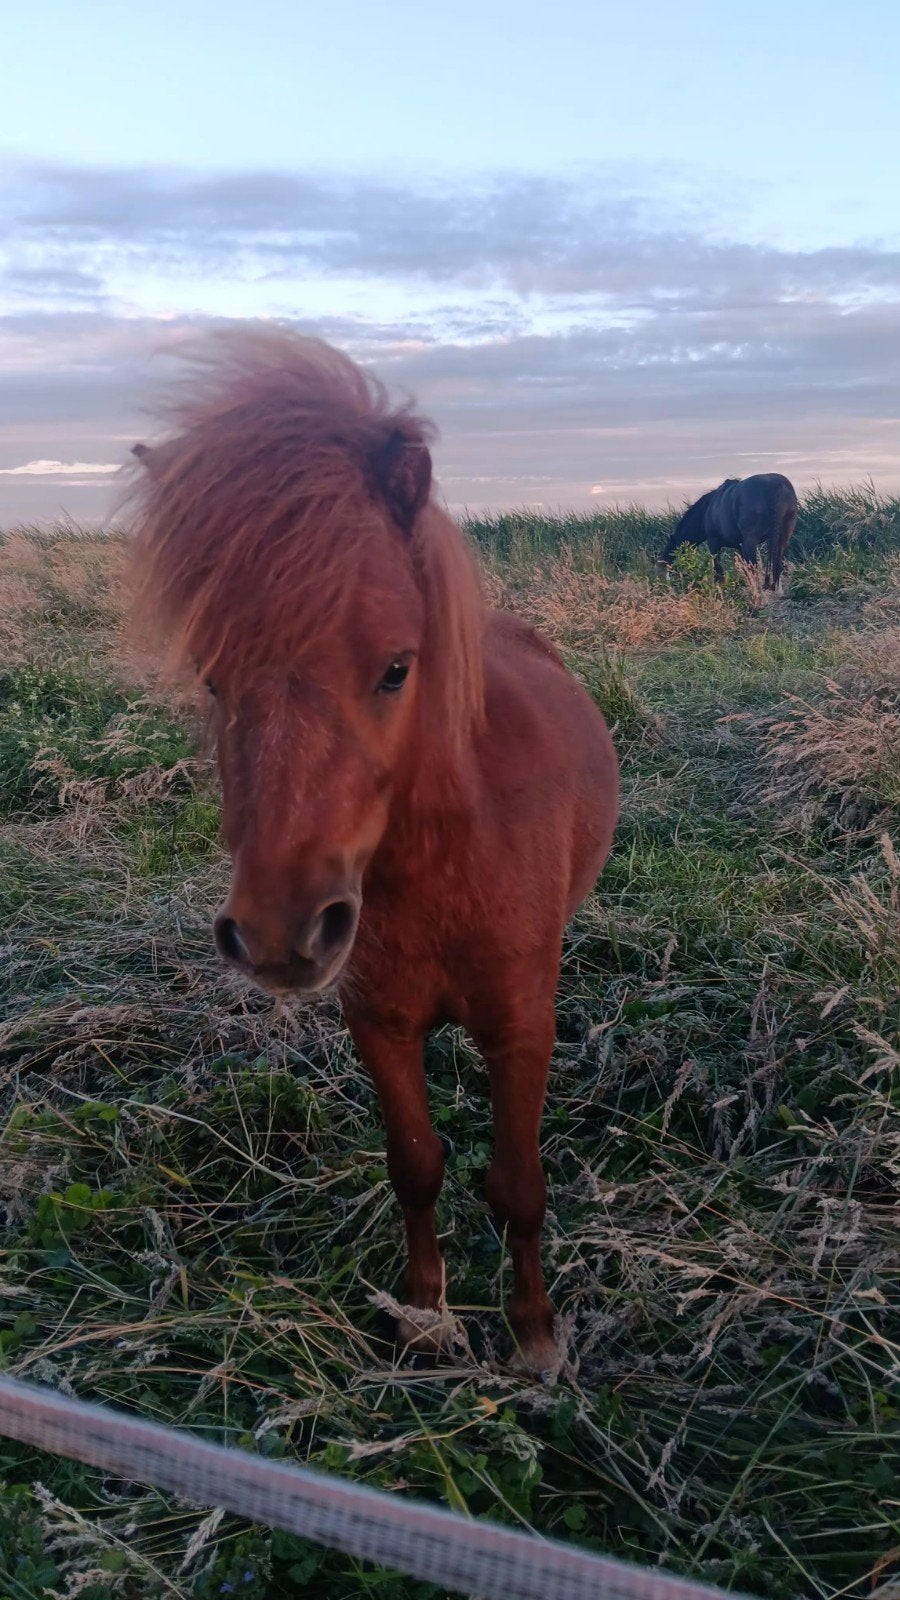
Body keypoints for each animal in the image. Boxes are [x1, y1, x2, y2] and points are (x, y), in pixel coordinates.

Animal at [129, 329, 619, 1374]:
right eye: (213, 681)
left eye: (397, 669)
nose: (278, 935)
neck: (445, 859)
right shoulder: (379, 1024)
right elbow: (418, 1166)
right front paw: (427, 1314)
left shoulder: (520, 1025)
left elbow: (517, 1184)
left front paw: (535, 1338)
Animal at [660, 473, 798, 590]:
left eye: (670, 553)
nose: (664, 580)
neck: (708, 509)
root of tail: (776, 488)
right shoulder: (740, 547)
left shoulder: (714, 542)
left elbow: (718, 572)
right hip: (782, 538)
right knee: (776, 566)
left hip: (751, 541)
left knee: (754, 567)